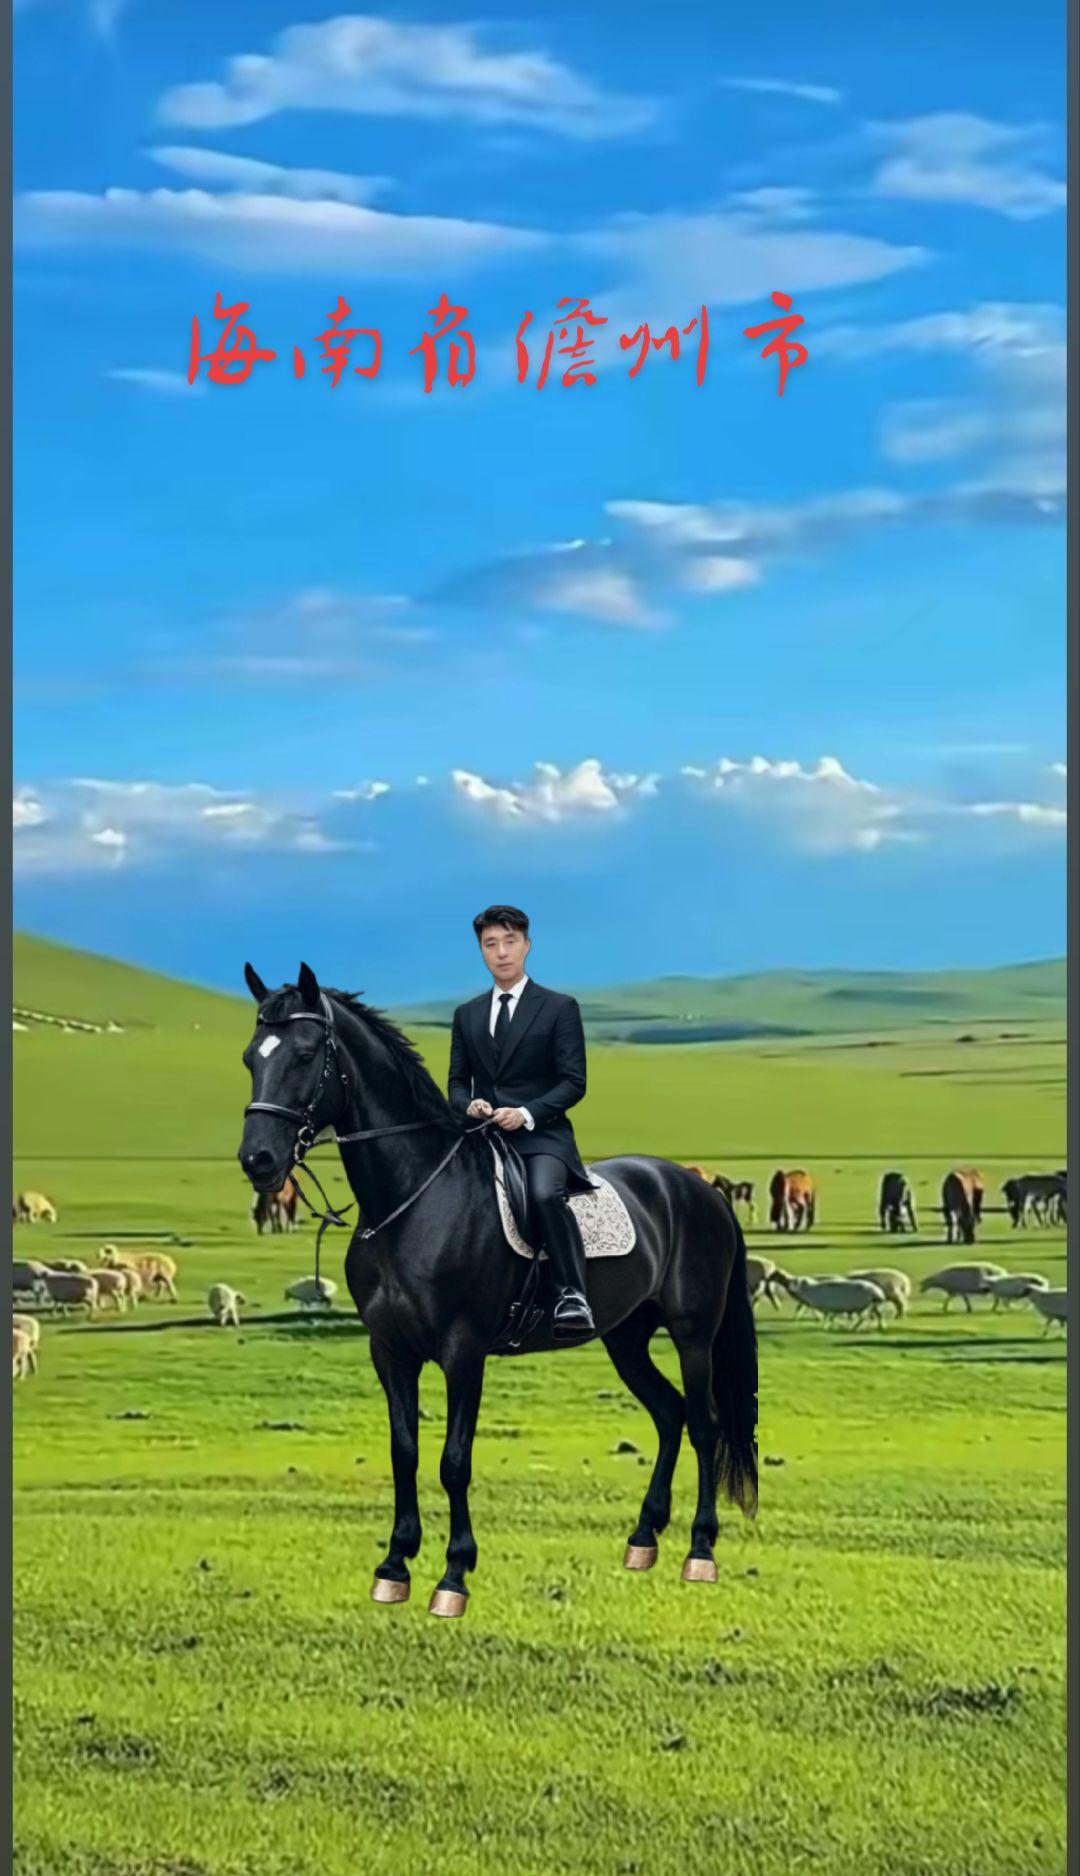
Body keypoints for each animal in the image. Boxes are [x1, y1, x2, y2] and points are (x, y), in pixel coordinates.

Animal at [237, 963, 758, 1619]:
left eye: (306, 1055)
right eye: (251, 1057)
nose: (258, 1160)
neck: (413, 1199)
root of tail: (698, 1189)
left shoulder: (463, 1350)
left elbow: (453, 1461)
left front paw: (453, 1576)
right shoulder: (390, 1351)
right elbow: (404, 1451)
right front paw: (394, 1566)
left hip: (693, 1332)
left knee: (704, 1422)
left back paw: (700, 1551)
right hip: (625, 1338)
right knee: (669, 1413)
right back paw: (643, 1539)